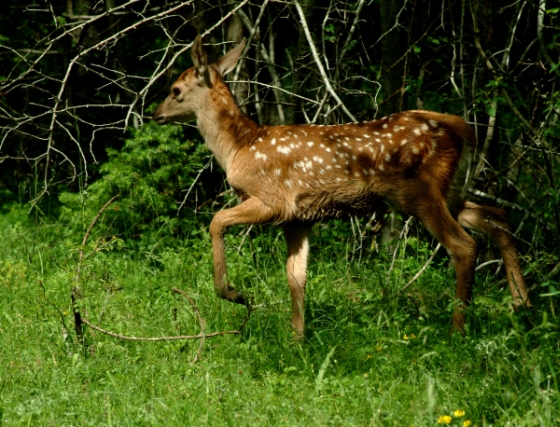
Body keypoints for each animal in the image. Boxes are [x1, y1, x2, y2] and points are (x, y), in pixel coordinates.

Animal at [152, 36, 528, 338]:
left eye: (175, 90)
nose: (155, 114)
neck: (239, 147)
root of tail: (462, 128)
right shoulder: (298, 219)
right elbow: (296, 276)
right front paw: (298, 340)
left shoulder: (273, 200)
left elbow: (216, 221)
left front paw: (233, 293)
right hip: (448, 191)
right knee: (497, 215)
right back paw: (522, 305)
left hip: (417, 192)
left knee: (464, 245)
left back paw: (457, 331)